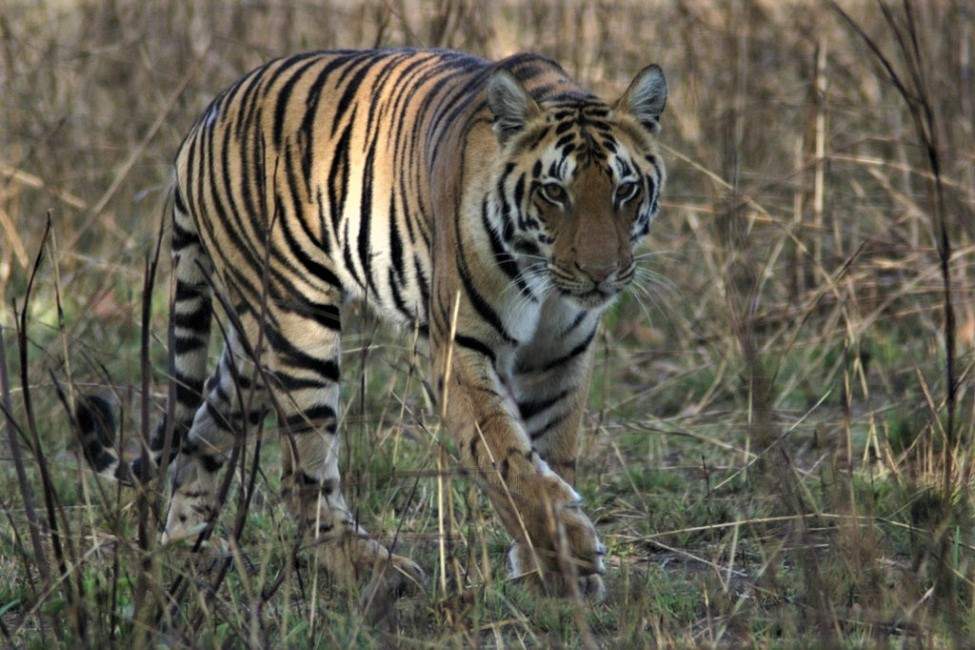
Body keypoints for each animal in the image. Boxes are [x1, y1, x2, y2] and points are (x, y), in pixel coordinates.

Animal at [76, 48, 667, 600]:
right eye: (553, 192)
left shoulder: (562, 354)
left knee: (202, 433)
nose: (601, 273)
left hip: (251, 342)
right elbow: (507, 456)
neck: (546, 284)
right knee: (300, 477)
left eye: (625, 190)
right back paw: (375, 572)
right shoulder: (459, 347)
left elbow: (552, 452)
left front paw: (554, 572)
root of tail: (202, 121)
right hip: (298, 325)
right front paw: (570, 548)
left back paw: (185, 552)